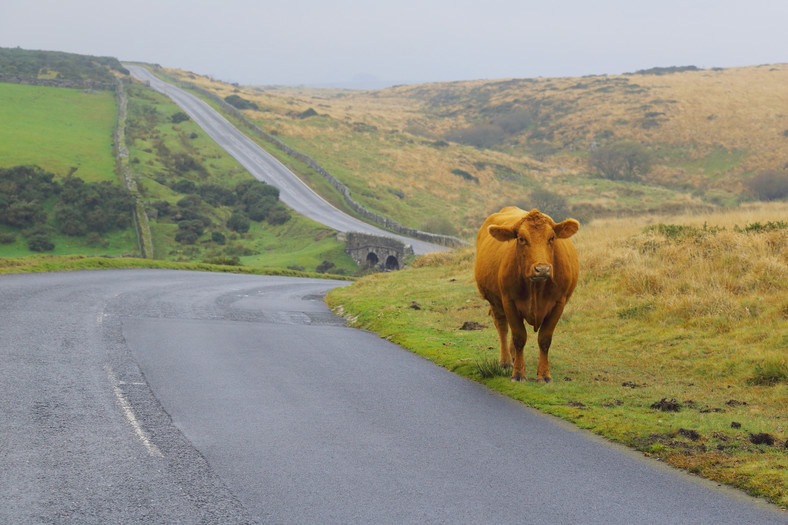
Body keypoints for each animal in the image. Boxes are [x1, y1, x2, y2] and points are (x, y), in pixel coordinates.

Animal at [474, 207, 580, 382]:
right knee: (502, 327)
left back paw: (512, 357)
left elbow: (544, 339)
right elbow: (519, 337)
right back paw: (505, 361)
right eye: (521, 239)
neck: (536, 287)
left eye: (552, 238)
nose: (542, 269)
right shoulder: (509, 301)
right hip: (495, 301)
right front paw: (518, 373)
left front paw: (544, 374)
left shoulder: (559, 304)